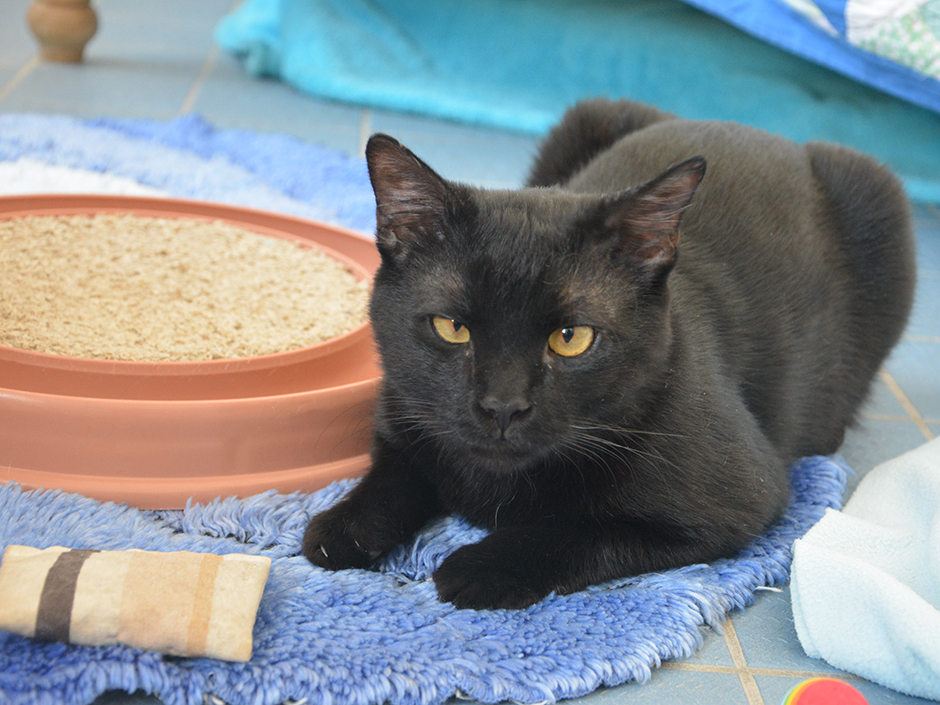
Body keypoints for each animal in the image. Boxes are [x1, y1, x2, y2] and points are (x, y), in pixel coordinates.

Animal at [302, 96, 916, 608]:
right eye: (452, 328)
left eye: (571, 338)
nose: (502, 406)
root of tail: (760, 130)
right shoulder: (403, 414)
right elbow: (394, 473)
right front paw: (342, 526)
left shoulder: (740, 499)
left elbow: (579, 530)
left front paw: (480, 567)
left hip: (881, 200)